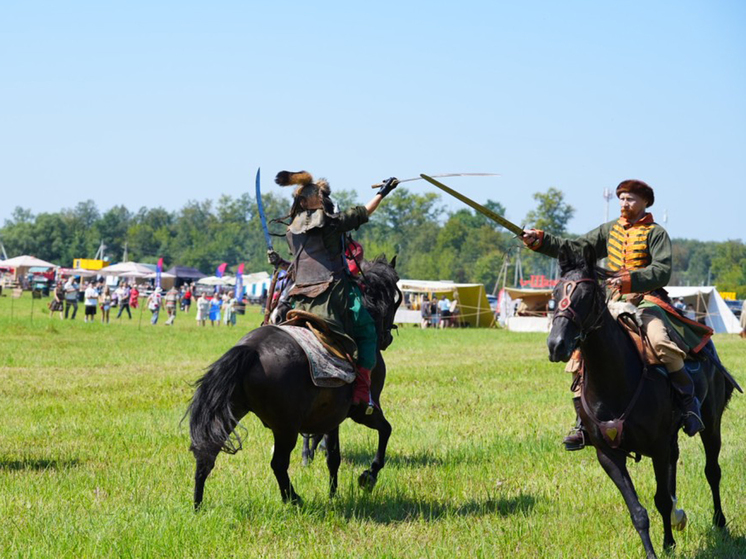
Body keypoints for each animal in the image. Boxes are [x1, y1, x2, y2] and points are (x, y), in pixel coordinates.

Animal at [186, 256, 402, 510]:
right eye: (394, 297)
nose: (387, 338)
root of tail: (250, 349)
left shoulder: (331, 418)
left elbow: (333, 457)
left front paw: (334, 493)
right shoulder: (363, 412)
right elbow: (385, 430)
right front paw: (369, 476)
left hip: (234, 410)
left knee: (208, 452)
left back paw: (198, 503)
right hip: (285, 427)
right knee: (278, 463)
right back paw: (293, 497)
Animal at [544, 246, 736, 559]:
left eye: (587, 294)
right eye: (556, 291)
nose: (556, 345)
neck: (615, 380)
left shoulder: (657, 446)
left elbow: (661, 499)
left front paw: (666, 542)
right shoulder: (609, 455)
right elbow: (638, 511)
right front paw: (662, 546)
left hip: (711, 424)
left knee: (712, 471)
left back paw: (720, 523)